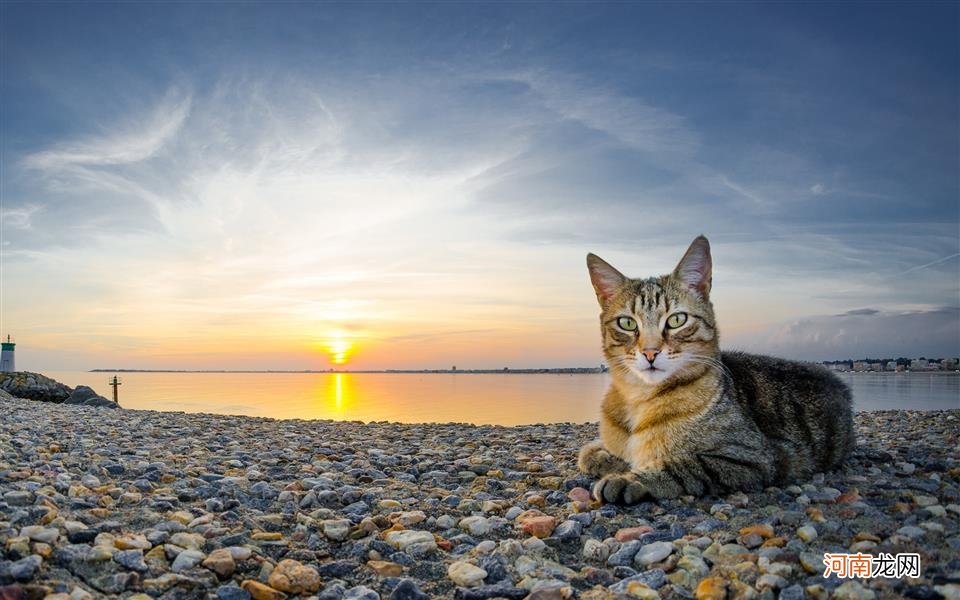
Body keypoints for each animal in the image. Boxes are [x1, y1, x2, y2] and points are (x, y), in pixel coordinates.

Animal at [576, 234, 856, 502]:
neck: (638, 398)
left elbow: (684, 464)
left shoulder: (754, 457)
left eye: (677, 320)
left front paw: (631, 479)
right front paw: (604, 455)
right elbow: (592, 453)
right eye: (627, 323)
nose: (650, 352)